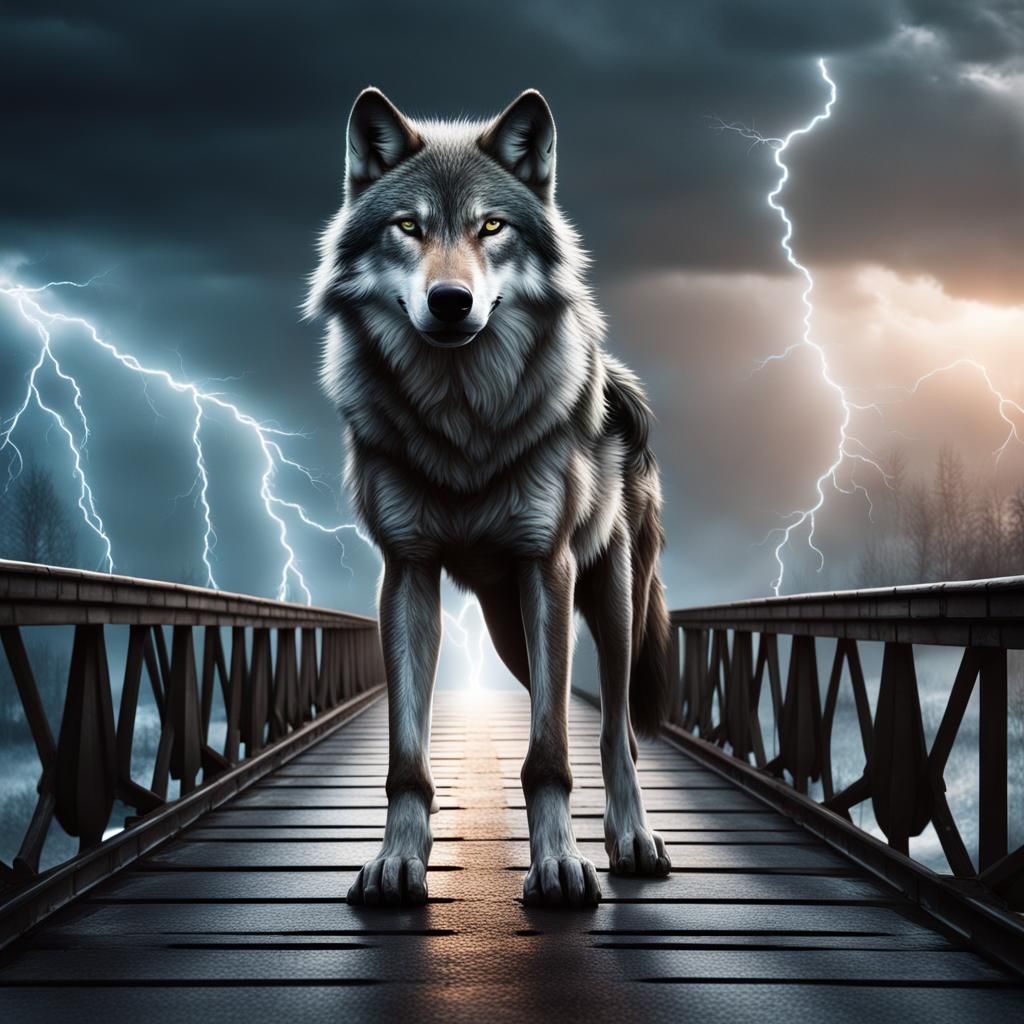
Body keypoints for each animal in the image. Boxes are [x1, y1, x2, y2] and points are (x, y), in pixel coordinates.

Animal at [306, 87, 673, 908]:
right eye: (409, 226)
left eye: (491, 226)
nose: (450, 301)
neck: (462, 419)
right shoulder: (406, 574)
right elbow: (408, 760)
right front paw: (396, 862)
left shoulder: (547, 567)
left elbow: (551, 752)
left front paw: (561, 865)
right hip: (508, 634)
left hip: (610, 598)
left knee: (618, 730)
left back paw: (631, 839)